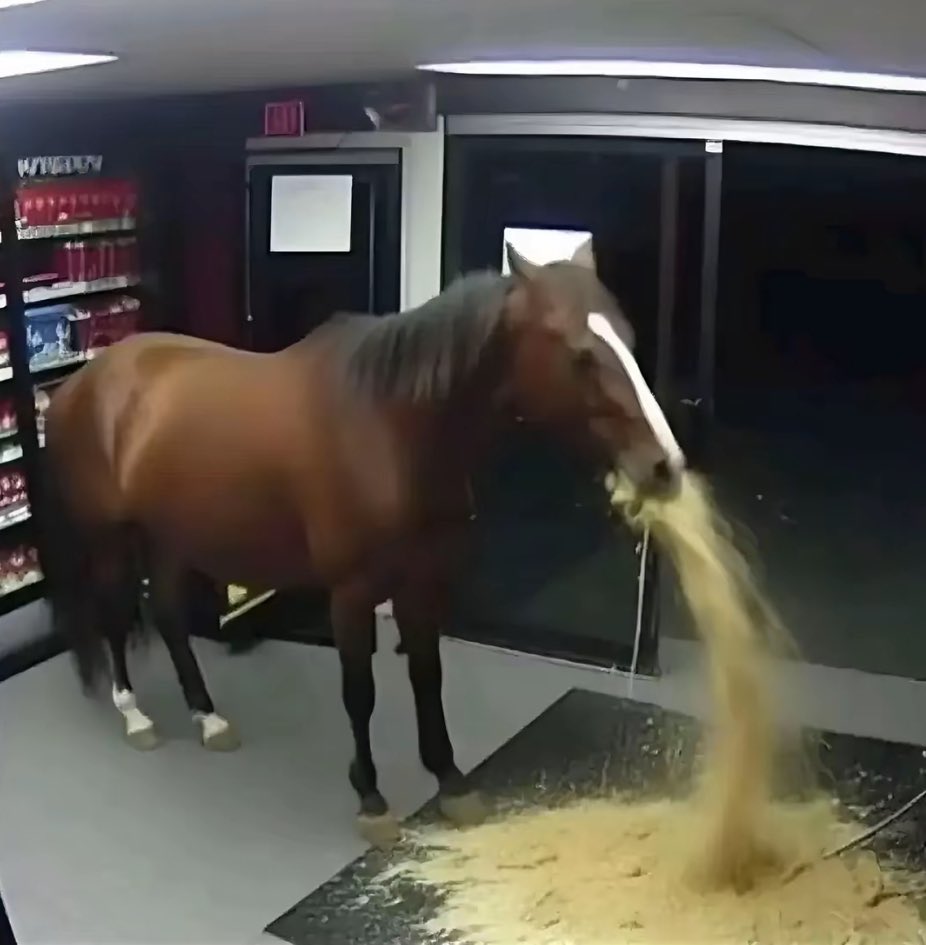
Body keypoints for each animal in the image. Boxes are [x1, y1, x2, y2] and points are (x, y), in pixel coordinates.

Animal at [41, 237, 684, 841]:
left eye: (628, 338)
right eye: (581, 355)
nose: (665, 465)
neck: (390, 428)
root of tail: (82, 384)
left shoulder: (423, 582)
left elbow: (427, 676)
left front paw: (450, 780)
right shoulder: (351, 595)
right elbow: (361, 694)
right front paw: (371, 798)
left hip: (171, 536)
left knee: (172, 618)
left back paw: (208, 718)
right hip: (111, 540)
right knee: (114, 619)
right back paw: (135, 716)